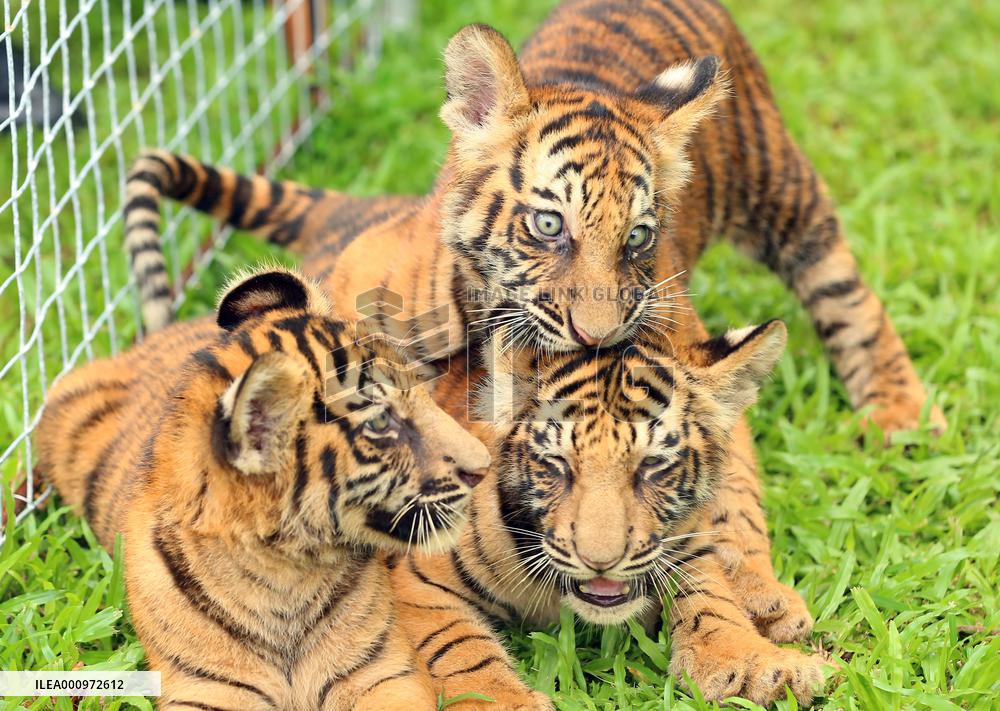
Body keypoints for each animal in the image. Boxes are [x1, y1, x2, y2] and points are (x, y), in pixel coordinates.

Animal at [389, 320, 827, 708]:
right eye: (558, 463)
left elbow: (711, 598)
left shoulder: (688, 544)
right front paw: (502, 702)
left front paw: (753, 663)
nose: (600, 562)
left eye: (651, 464)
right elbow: (460, 647)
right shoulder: (420, 580)